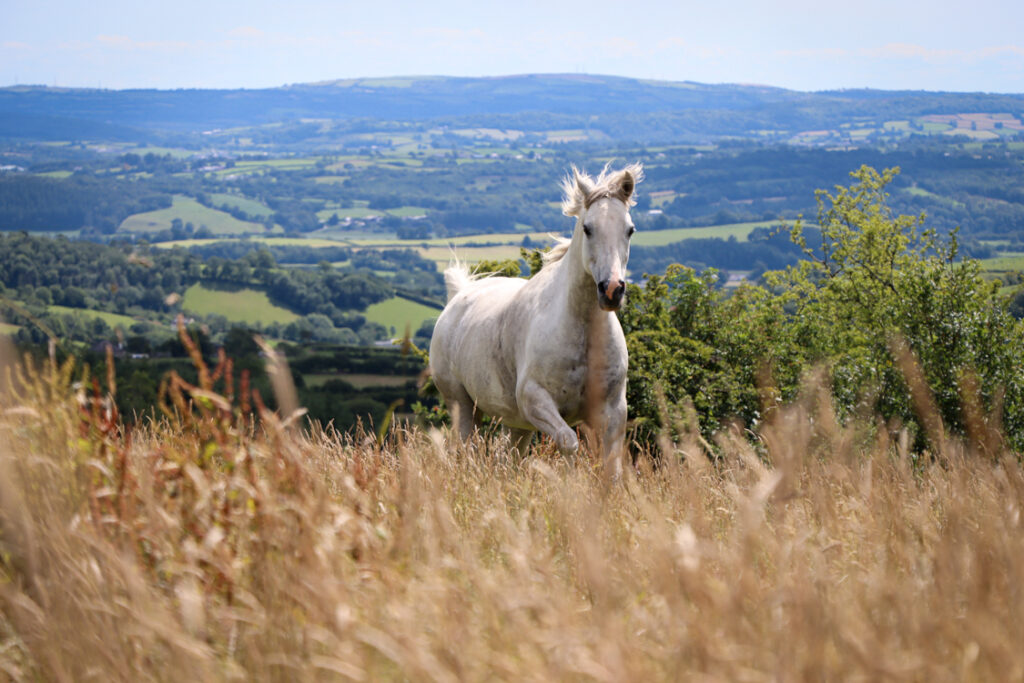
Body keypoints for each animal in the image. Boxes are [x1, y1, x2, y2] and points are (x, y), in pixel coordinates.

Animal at [429, 163, 642, 476]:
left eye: (630, 230)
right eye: (588, 228)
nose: (612, 290)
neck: (582, 332)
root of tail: (459, 296)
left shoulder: (613, 411)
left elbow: (612, 467)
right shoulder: (535, 400)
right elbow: (569, 443)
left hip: (518, 425)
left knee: (508, 457)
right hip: (464, 407)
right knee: (465, 450)